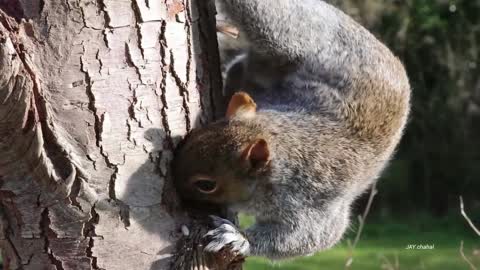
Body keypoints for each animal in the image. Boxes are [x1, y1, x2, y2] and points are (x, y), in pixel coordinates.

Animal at [172, 0, 408, 260]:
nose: (173, 185)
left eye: (206, 185)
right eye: (196, 135)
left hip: (289, 36)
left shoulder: (312, 204)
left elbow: (309, 237)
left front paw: (238, 238)